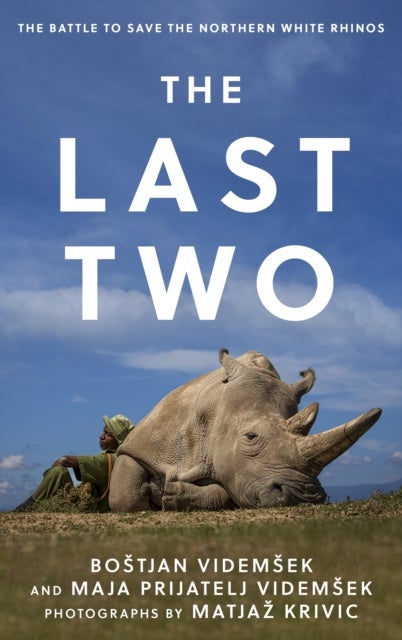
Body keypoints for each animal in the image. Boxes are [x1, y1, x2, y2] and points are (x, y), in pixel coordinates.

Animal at [109, 349, 382, 511]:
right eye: (251, 437)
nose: (302, 497)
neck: (213, 411)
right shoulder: (143, 444)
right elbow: (125, 496)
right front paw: (153, 494)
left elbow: (226, 493)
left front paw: (169, 494)